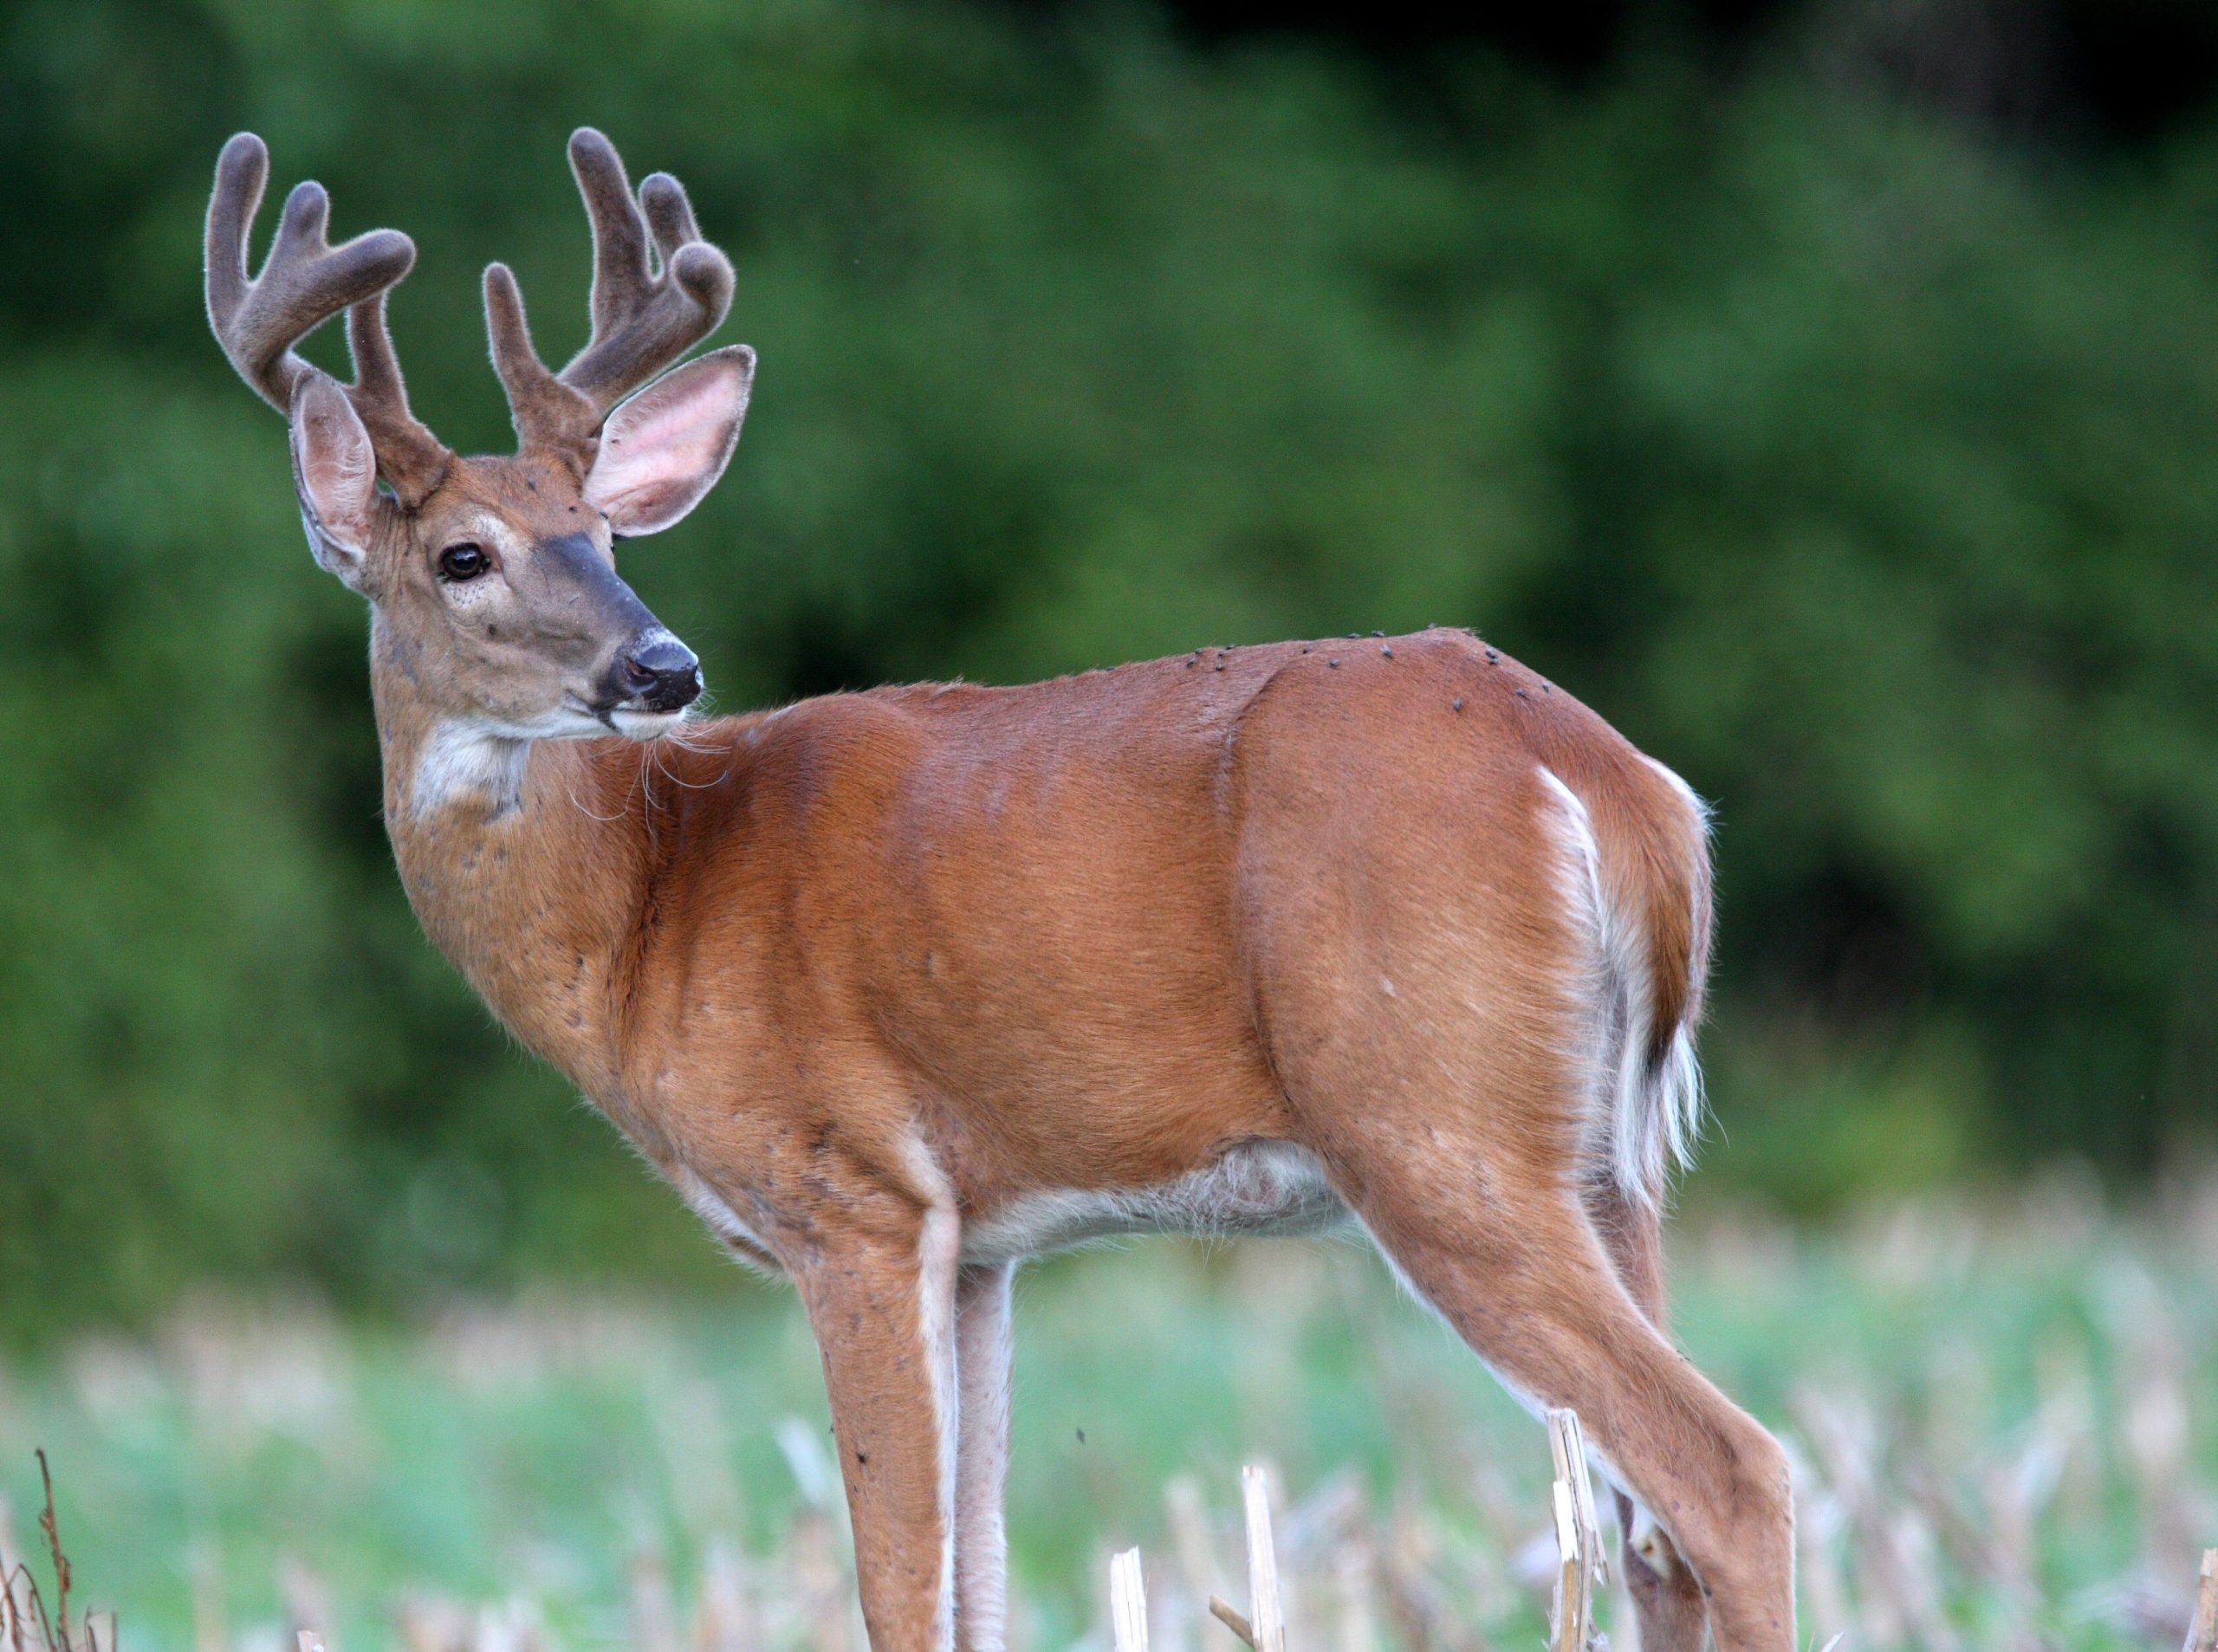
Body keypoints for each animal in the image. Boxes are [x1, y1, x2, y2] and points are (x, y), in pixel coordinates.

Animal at [208, 132, 1800, 1649]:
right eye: (463, 553)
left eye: (604, 537)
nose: (663, 666)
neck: (648, 908)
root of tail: (1615, 784)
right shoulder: (978, 1244)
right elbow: (974, 1584)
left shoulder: (849, 1189)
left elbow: (901, 1590)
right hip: (1608, 1166)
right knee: (1647, 1533)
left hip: (1434, 1119)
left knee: (1730, 1470)